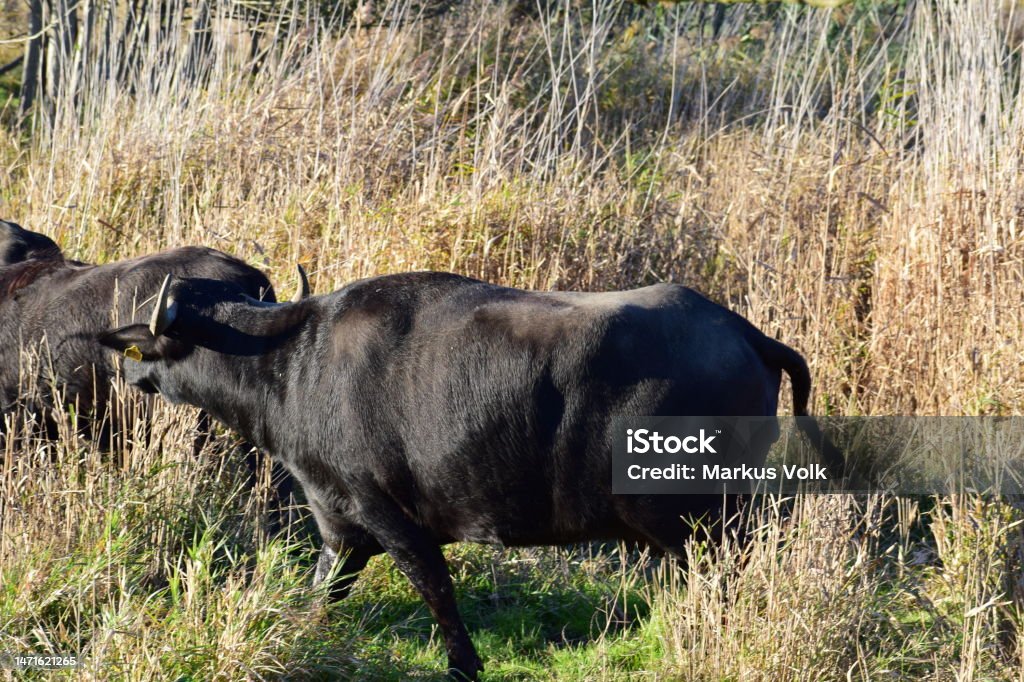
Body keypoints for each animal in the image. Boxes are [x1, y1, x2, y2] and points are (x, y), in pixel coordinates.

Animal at [99, 269, 842, 680]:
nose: (124, 366)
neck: (292, 362)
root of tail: (745, 333)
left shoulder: (385, 515)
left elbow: (434, 588)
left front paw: (463, 663)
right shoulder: (341, 530)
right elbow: (323, 595)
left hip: (703, 521)